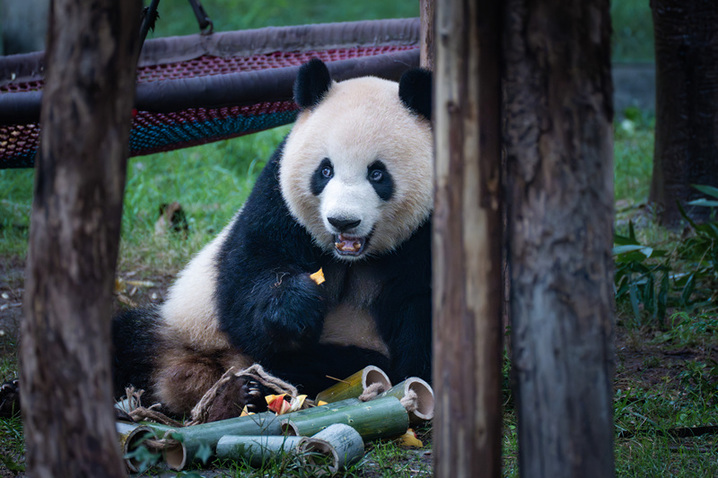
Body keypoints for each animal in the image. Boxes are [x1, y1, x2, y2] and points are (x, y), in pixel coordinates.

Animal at [112, 58, 436, 418]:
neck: (353, 257)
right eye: (325, 171)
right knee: (127, 342)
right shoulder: (277, 201)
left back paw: (246, 392)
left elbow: (420, 308)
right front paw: (297, 304)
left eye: (377, 173)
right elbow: (246, 283)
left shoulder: (424, 233)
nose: (343, 221)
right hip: (179, 328)